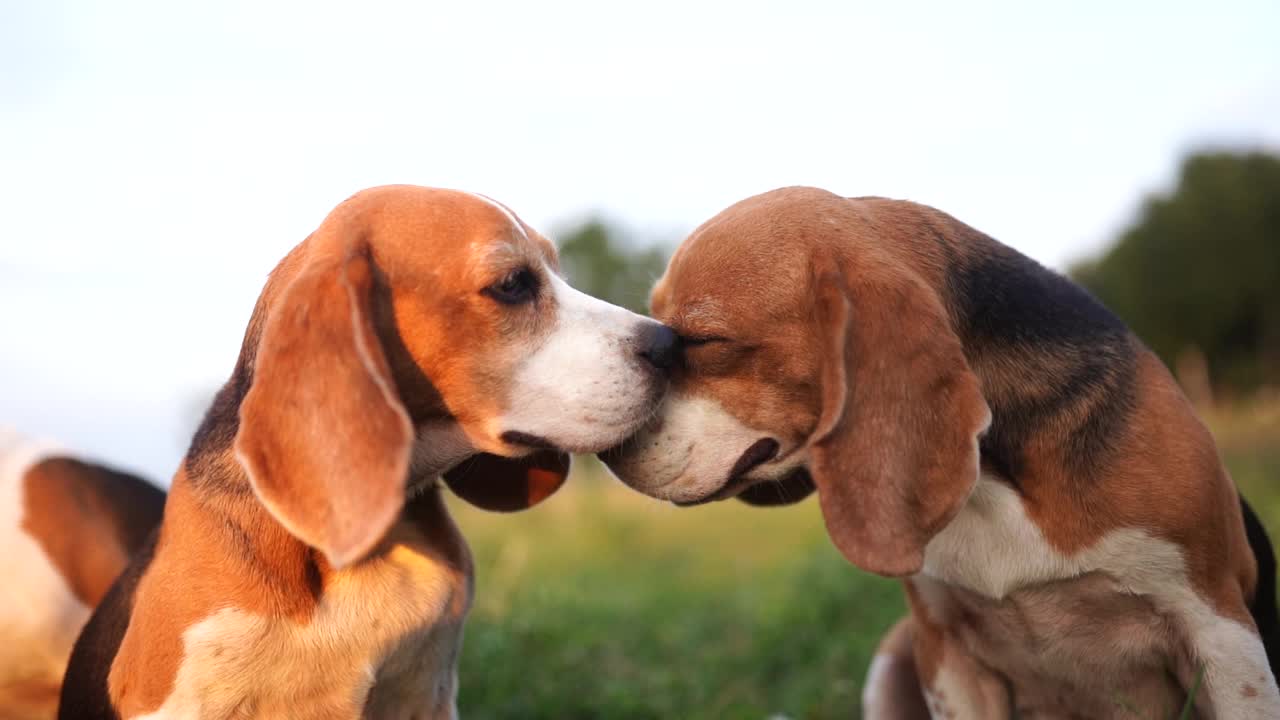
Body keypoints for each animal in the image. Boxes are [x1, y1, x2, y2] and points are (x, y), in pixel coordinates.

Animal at [601, 185, 1280, 717]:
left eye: (701, 339)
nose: (610, 450)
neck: (997, 485)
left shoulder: (1221, 632)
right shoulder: (946, 653)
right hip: (894, 652)